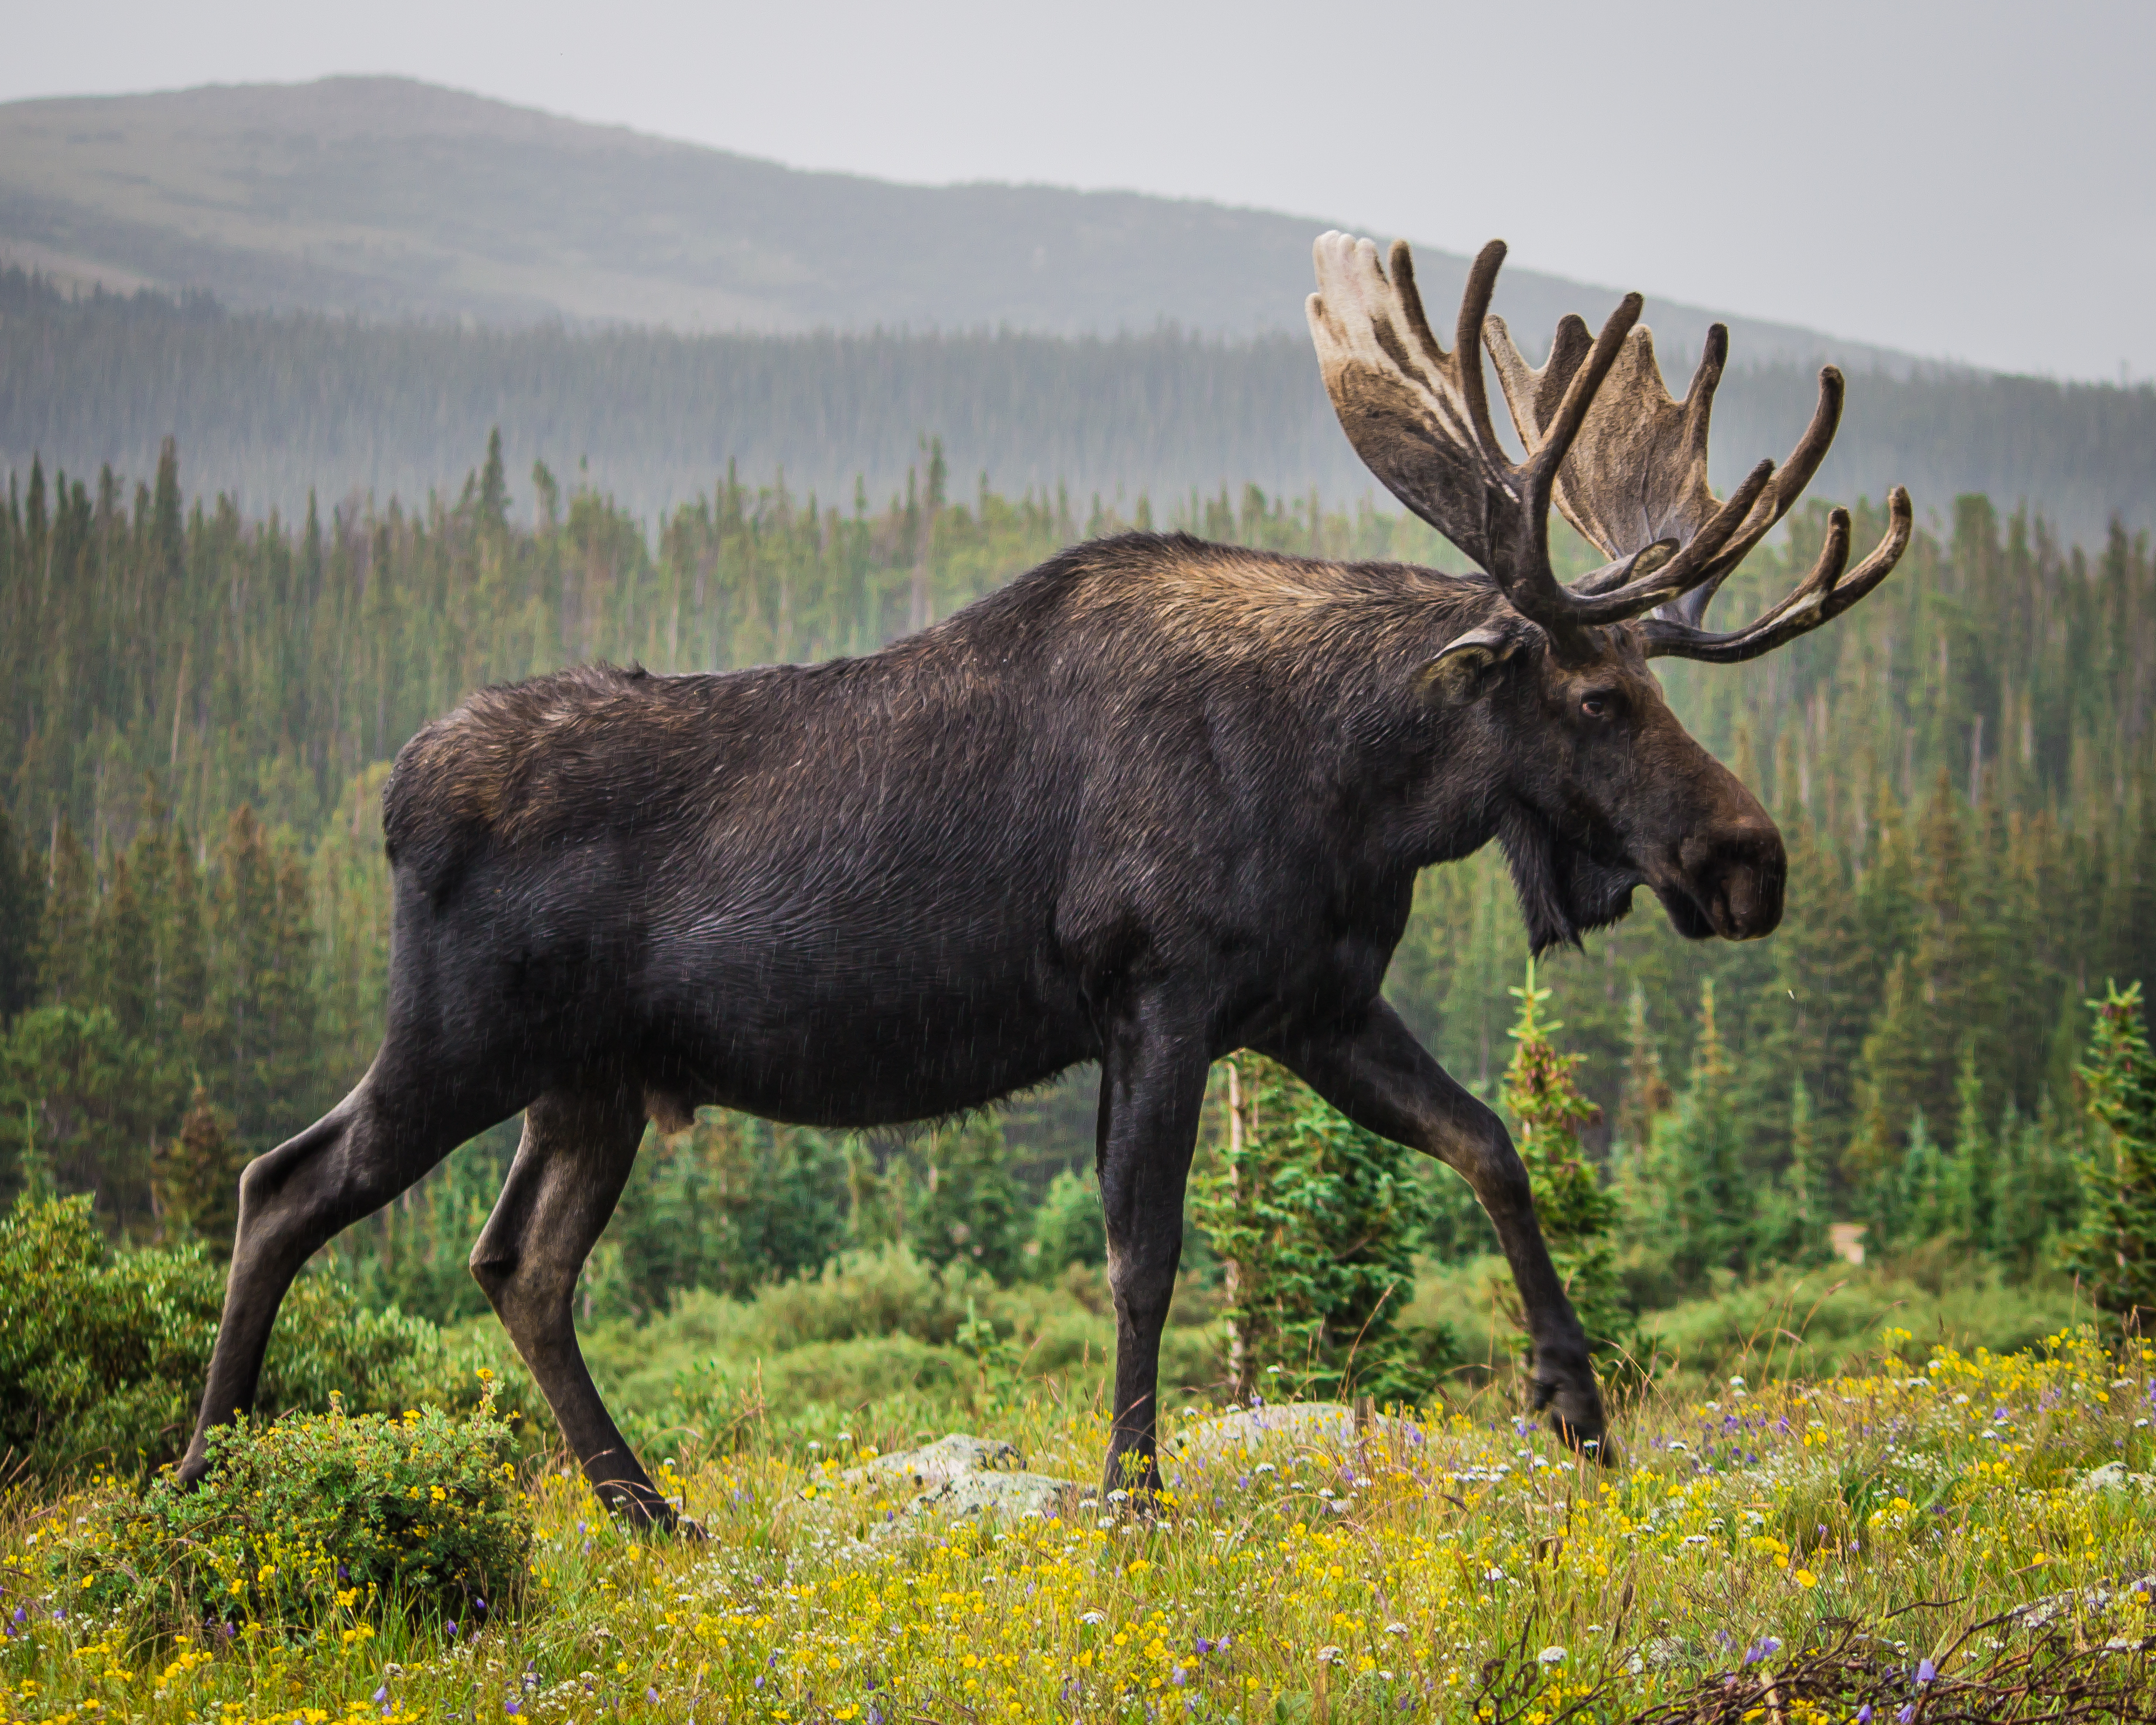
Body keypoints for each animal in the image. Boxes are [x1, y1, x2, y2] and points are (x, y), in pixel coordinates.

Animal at [181, 233, 1906, 1526]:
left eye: (1650, 681)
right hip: (461, 1039)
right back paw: (203, 1471)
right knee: (285, 1185)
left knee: (519, 1264)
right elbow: (1145, 1252)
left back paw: (647, 1507)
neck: (1350, 791)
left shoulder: (1311, 1007)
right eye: (1597, 696)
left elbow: (1489, 1142)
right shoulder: (1160, 994)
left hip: (589, 1082)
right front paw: (1134, 1500)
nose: (1748, 861)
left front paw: (1576, 1403)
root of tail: (394, 791)